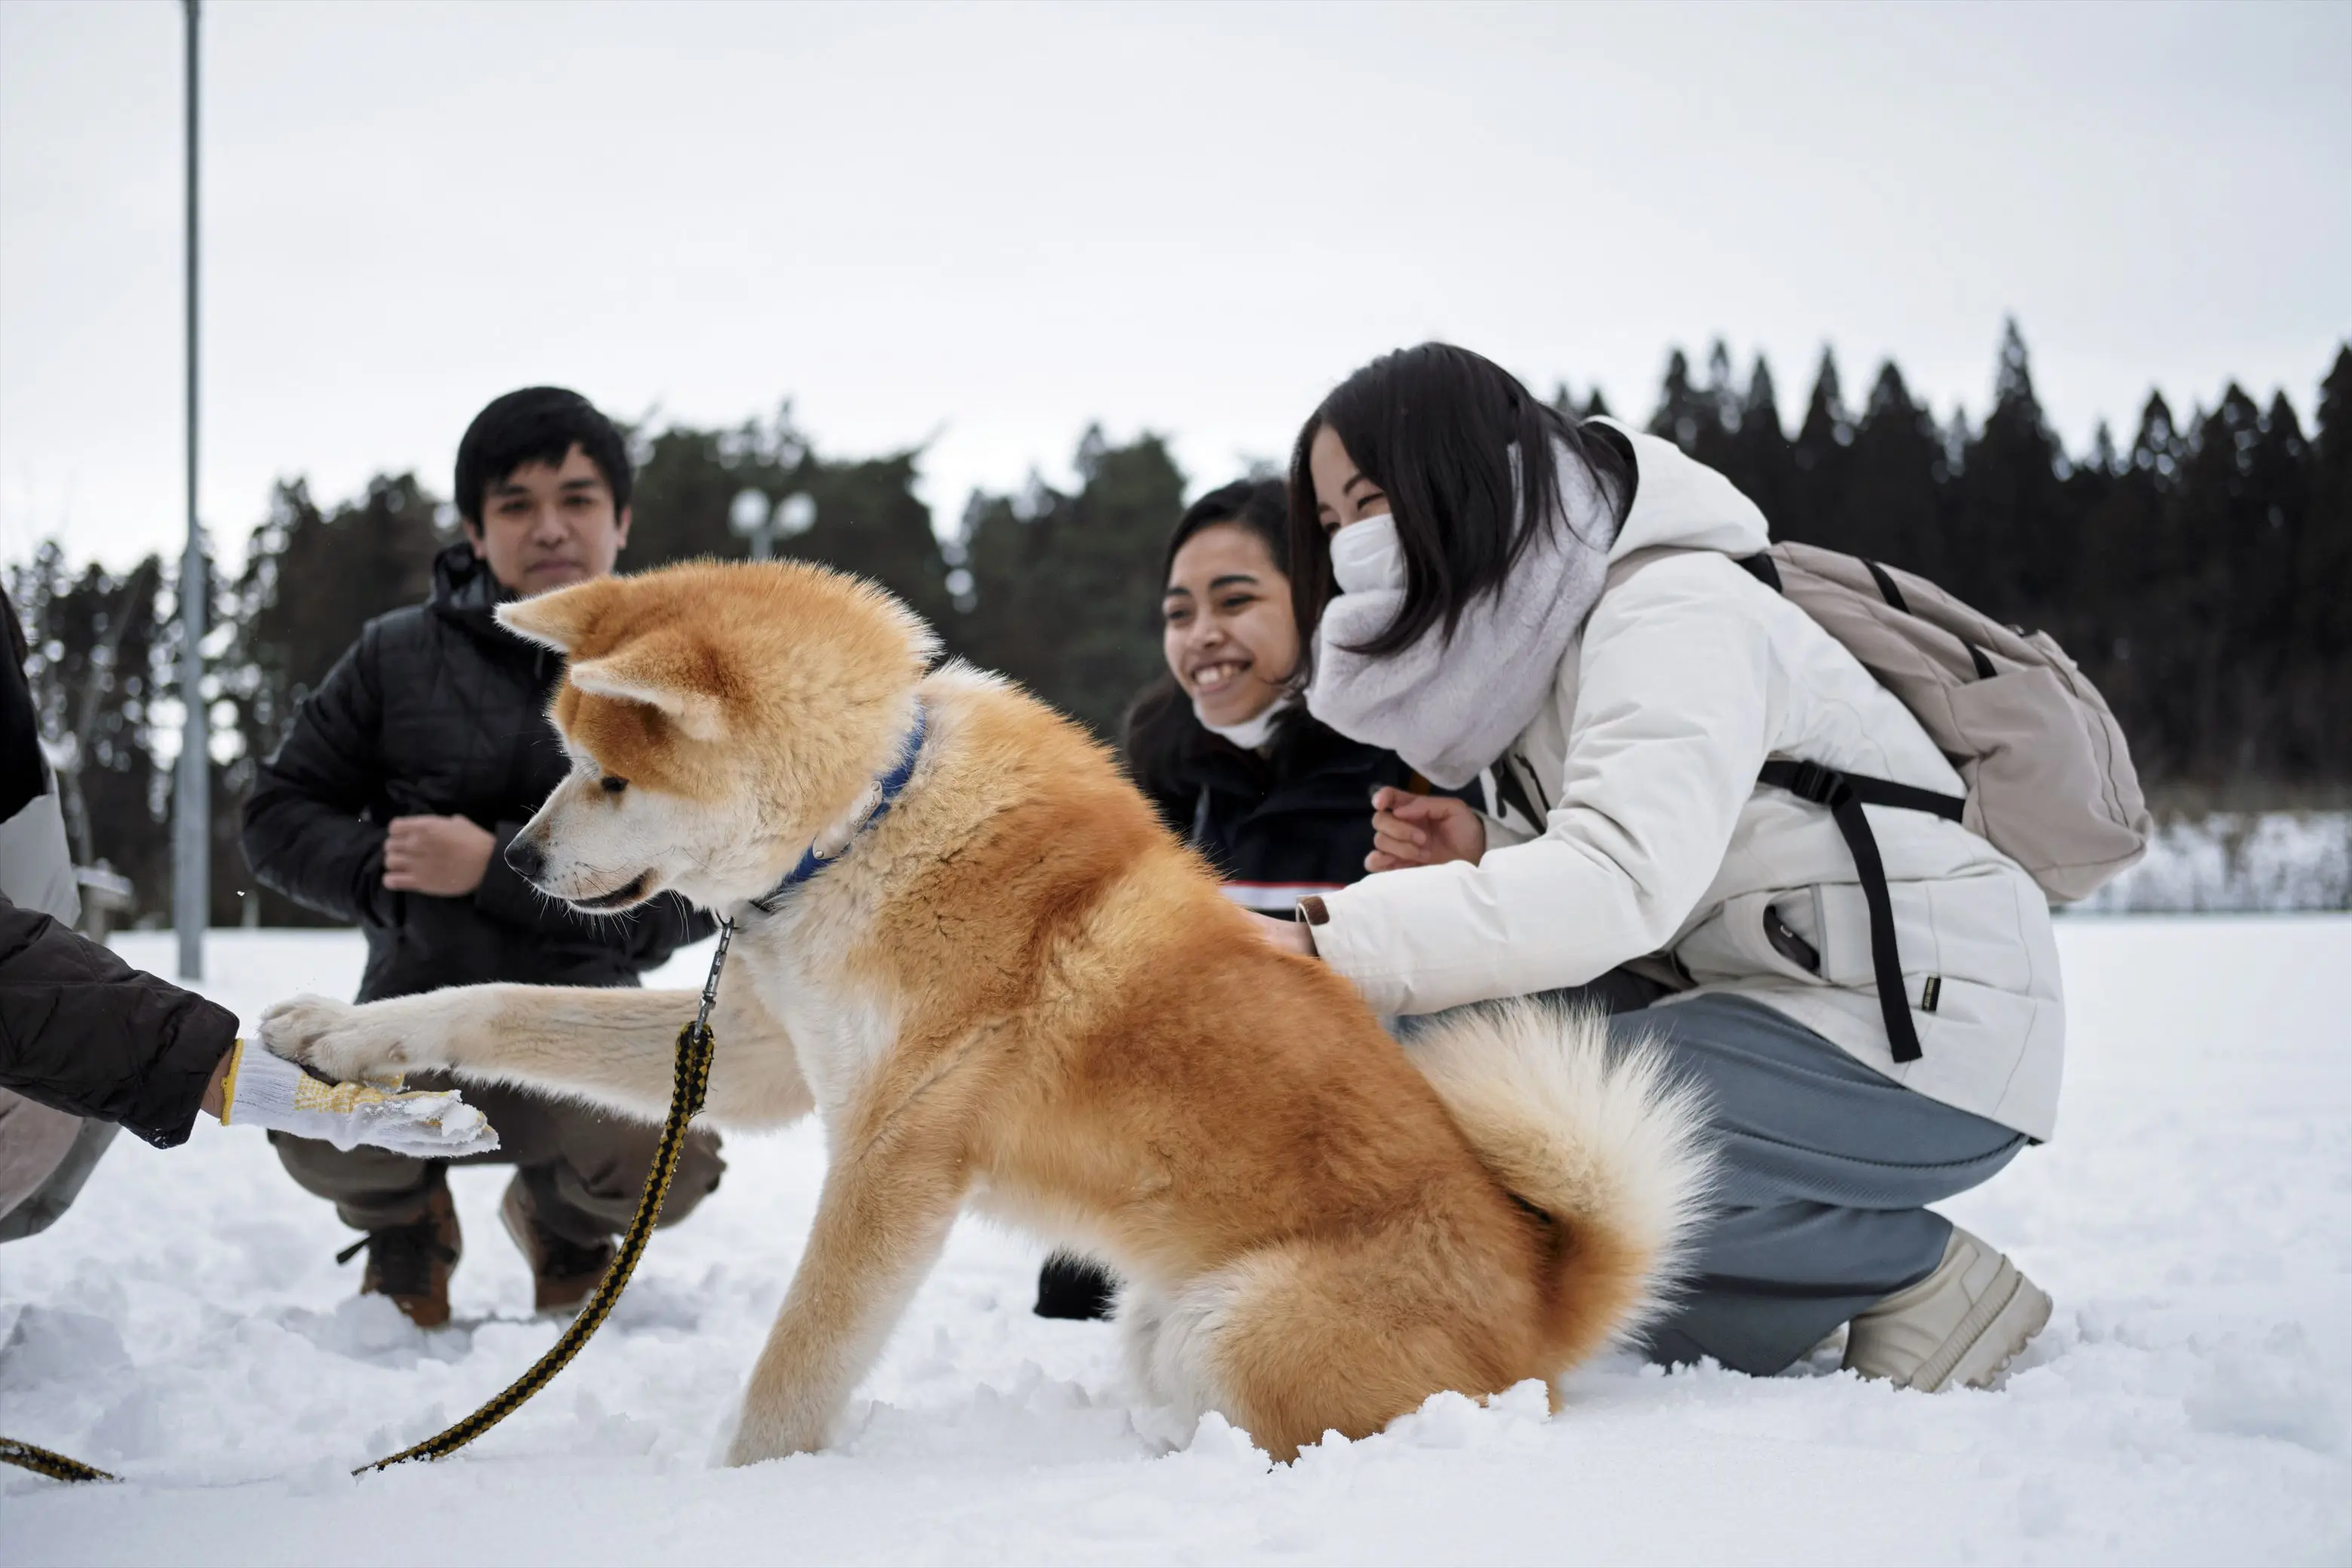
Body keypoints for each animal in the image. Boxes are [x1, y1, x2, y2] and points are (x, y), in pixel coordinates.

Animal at [262, 557, 1712, 1466]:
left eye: (609, 777)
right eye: (565, 759)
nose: (511, 860)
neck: (864, 827)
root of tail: (1544, 1304)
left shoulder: (894, 1153)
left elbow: (796, 1366)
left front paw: (740, 1492)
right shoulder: (764, 1058)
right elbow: (506, 1001)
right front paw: (346, 1036)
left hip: (1237, 1326)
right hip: (1162, 1328)